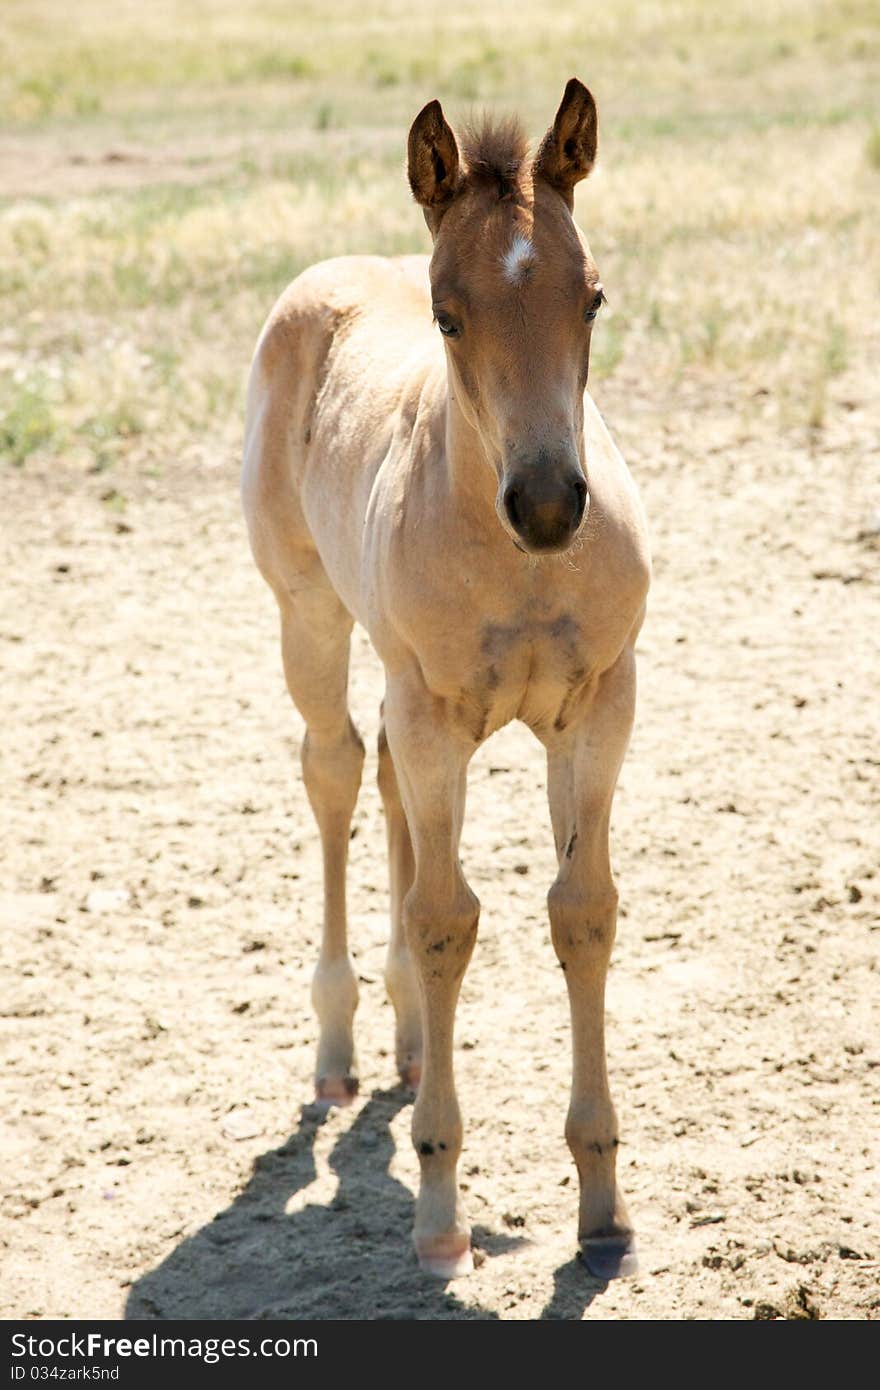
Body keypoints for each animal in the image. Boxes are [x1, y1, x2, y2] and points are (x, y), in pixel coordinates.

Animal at [239, 81, 645, 1278]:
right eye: (446, 314)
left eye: (592, 298)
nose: (551, 502)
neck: (520, 565)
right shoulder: (435, 713)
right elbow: (444, 921)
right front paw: (437, 1213)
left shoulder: (600, 706)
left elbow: (581, 912)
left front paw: (602, 1211)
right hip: (312, 618)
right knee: (335, 772)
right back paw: (339, 1049)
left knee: (379, 784)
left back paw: (410, 1040)